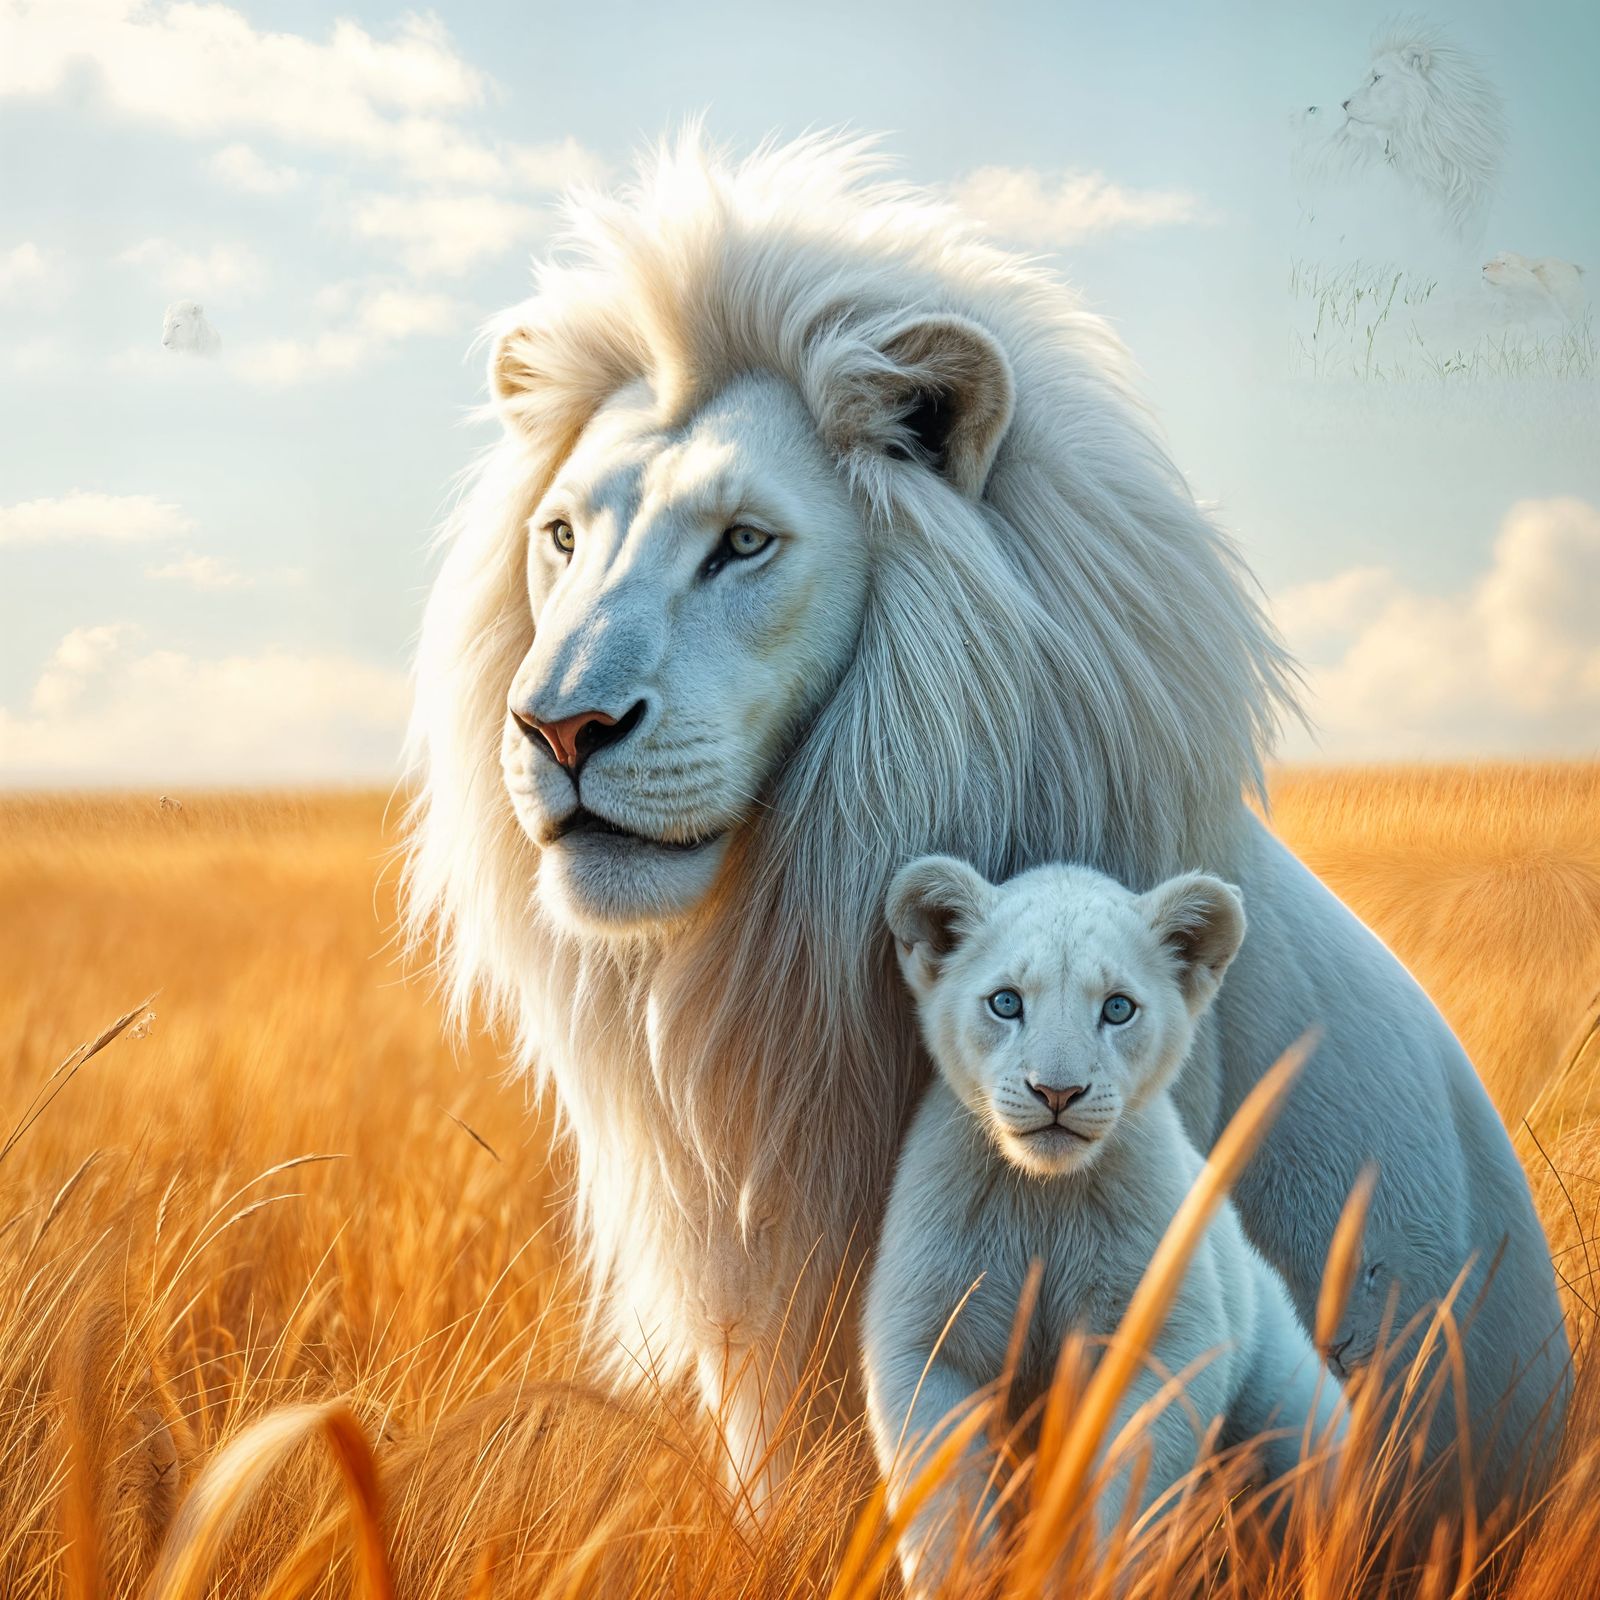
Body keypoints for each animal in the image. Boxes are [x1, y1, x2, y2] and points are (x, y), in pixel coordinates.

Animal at [868, 857, 1345, 1593]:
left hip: (1302, 1416)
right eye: (1006, 1001)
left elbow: (1130, 1481)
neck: (1045, 1200)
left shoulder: (1170, 1334)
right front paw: (962, 1580)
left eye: (1117, 1007)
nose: (1057, 1092)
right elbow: (943, 1500)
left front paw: (1098, 1576)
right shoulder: (925, 1333)